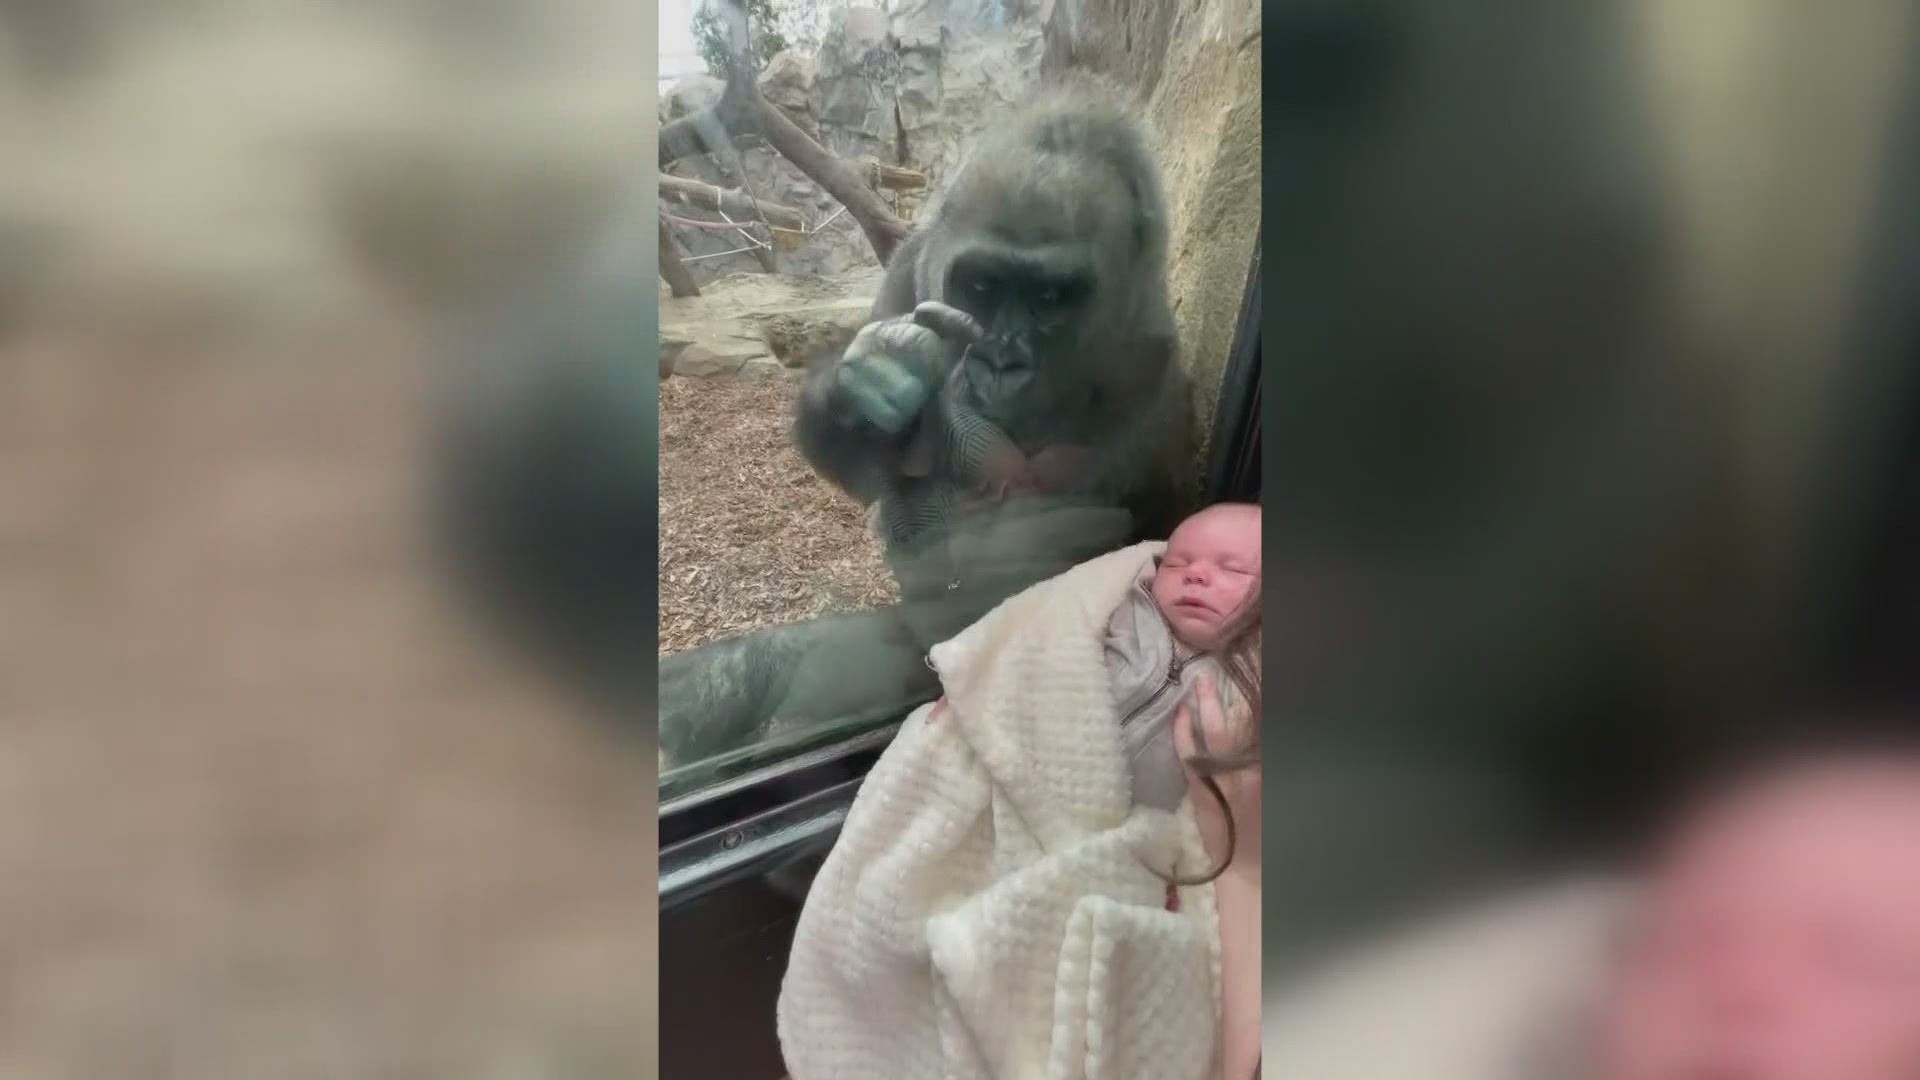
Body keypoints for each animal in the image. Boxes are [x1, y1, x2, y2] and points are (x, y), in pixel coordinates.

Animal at [660, 84, 1198, 772]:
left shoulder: (1152, 358)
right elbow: (875, 469)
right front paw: (873, 383)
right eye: (983, 284)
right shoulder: (911, 263)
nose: (1001, 358)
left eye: (1052, 298)